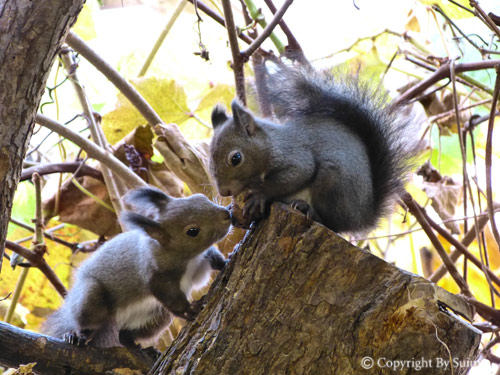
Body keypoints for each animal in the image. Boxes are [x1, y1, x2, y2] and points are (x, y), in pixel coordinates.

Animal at [43, 188, 230, 350]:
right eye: (192, 231)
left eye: (200, 197)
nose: (227, 214)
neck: (189, 259)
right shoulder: (156, 276)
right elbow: (172, 299)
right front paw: (190, 309)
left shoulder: (200, 263)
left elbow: (212, 260)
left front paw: (225, 261)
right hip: (90, 298)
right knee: (86, 324)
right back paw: (76, 336)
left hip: (157, 318)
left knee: (125, 336)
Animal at [208, 66, 414, 234]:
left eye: (236, 158)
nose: (224, 192)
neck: (270, 143)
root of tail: (364, 216)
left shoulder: (295, 154)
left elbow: (298, 173)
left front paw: (259, 193)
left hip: (333, 182)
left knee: (333, 223)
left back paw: (309, 210)